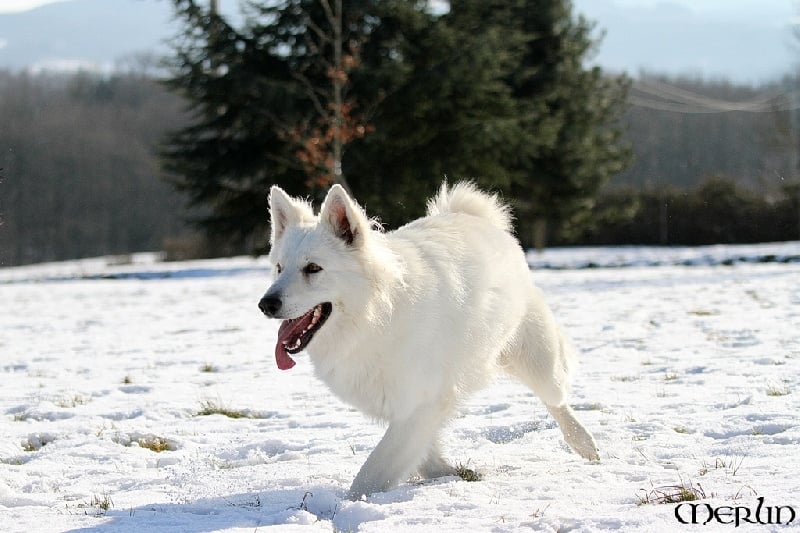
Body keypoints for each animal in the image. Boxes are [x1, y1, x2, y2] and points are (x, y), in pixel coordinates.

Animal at [260, 182, 596, 498]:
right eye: (279, 268)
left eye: (313, 268)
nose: (266, 304)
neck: (375, 317)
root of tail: (472, 216)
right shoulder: (411, 407)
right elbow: (422, 452)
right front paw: (449, 472)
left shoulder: (419, 402)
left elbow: (371, 473)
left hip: (536, 360)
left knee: (557, 399)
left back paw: (584, 443)